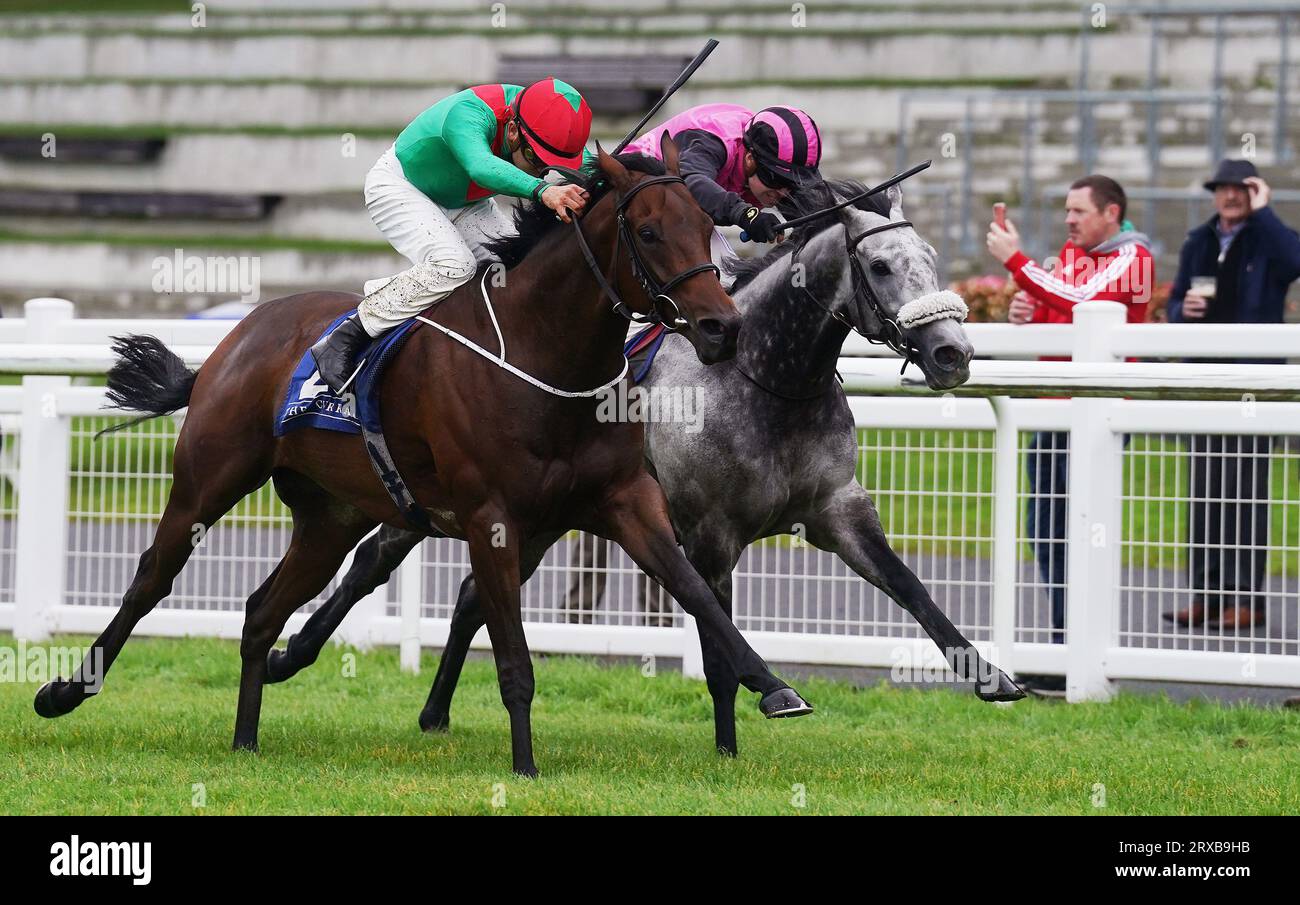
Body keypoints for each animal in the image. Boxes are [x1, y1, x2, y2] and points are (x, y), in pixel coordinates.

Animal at [32, 141, 811, 780]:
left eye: (706, 228)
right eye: (648, 231)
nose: (721, 327)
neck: (543, 352)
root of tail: (239, 335)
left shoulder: (625, 500)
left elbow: (698, 592)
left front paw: (775, 687)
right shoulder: (491, 518)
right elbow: (512, 655)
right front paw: (525, 767)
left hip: (331, 518)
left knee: (259, 611)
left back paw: (245, 741)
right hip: (208, 478)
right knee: (149, 580)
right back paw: (63, 690)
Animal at [261, 176, 1024, 754]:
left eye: (931, 255)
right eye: (882, 266)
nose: (952, 353)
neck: (765, 380)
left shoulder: (838, 509)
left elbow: (913, 590)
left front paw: (992, 676)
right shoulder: (710, 533)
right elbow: (715, 646)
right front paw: (732, 740)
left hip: (536, 521)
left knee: (474, 596)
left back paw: (433, 711)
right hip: (439, 499)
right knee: (373, 563)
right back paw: (288, 655)